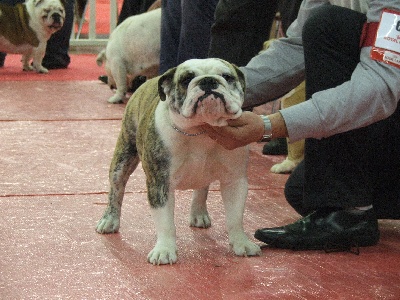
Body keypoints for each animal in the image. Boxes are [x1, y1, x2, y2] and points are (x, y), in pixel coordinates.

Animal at [95, 58, 260, 264]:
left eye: (227, 77)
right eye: (186, 79)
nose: (208, 81)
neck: (200, 130)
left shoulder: (235, 181)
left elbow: (235, 217)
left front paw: (241, 243)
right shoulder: (160, 184)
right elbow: (165, 222)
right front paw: (164, 250)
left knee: (201, 188)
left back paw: (198, 213)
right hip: (122, 159)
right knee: (116, 190)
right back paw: (109, 220)